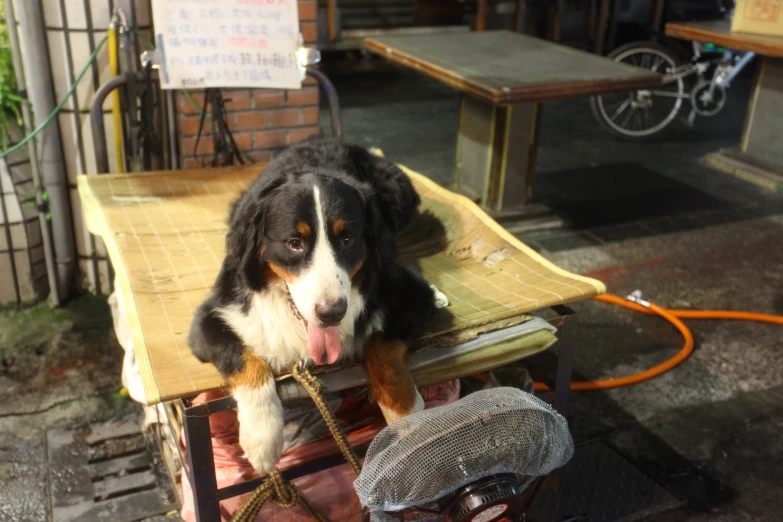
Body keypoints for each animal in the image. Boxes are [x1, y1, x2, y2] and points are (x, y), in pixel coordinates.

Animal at [188, 136, 438, 474]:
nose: (332, 313)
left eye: (347, 239)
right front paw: (262, 436)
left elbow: (382, 346)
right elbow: (242, 358)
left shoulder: (413, 293)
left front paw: (405, 413)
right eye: (295, 243)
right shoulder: (210, 317)